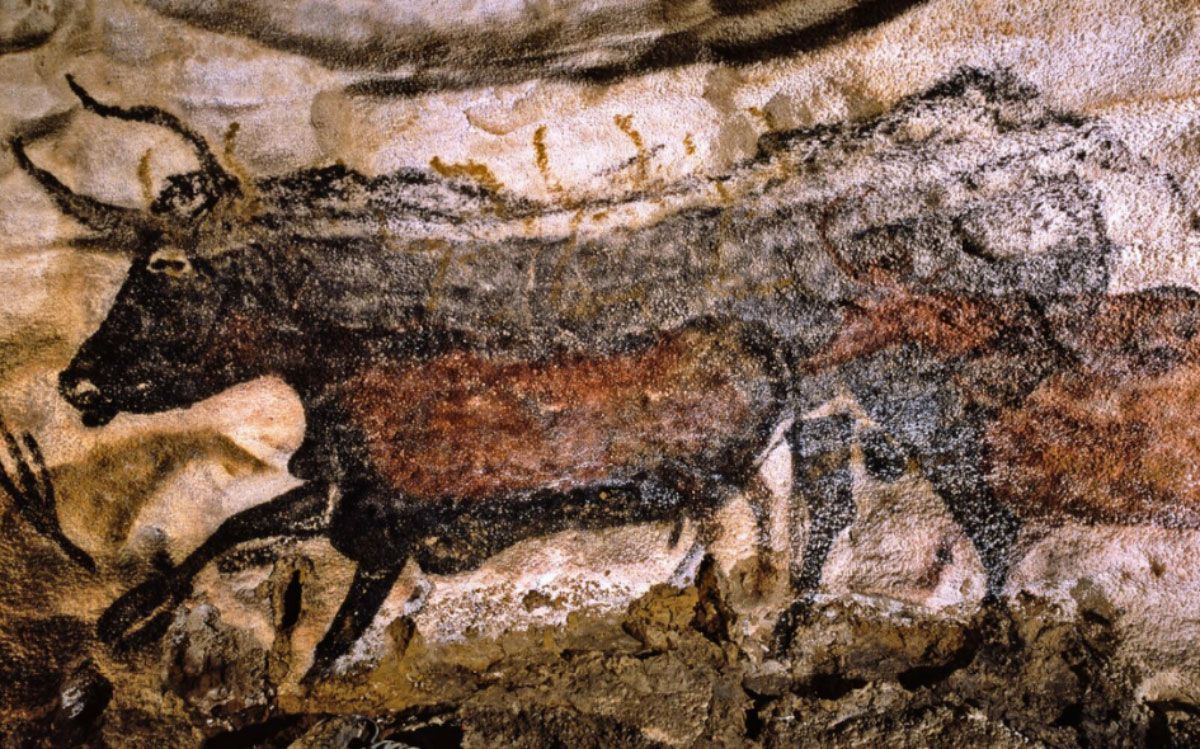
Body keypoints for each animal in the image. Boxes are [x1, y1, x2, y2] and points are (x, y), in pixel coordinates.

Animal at [1, 68, 1167, 678]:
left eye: (162, 272)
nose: (75, 385)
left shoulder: (384, 524)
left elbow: (317, 631)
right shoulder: (345, 498)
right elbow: (228, 531)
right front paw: (123, 617)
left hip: (903, 399)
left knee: (970, 509)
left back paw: (976, 633)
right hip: (843, 411)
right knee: (856, 512)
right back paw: (798, 633)